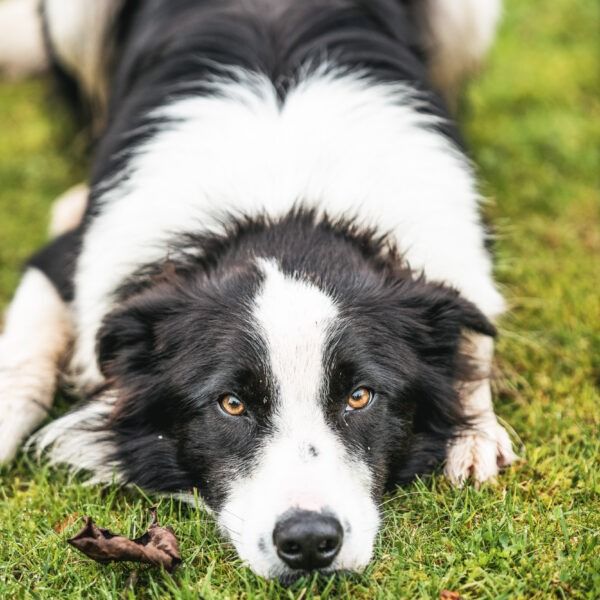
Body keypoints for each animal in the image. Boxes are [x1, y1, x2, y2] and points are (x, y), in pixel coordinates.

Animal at [0, 0, 516, 580]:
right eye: (231, 404)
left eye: (360, 397)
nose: (309, 542)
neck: (285, 208)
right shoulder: (63, 260)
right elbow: (22, 368)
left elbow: (474, 334)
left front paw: (475, 432)